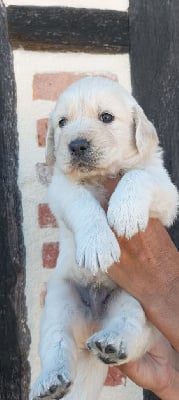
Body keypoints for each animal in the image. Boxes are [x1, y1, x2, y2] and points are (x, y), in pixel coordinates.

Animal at [30, 76, 178, 398]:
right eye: (62, 123)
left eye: (106, 117)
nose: (76, 145)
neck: (100, 175)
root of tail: (94, 323)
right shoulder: (61, 188)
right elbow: (82, 203)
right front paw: (98, 244)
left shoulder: (165, 189)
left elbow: (136, 176)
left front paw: (124, 213)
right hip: (60, 300)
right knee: (57, 343)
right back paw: (50, 380)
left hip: (137, 299)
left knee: (131, 326)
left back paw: (112, 343)